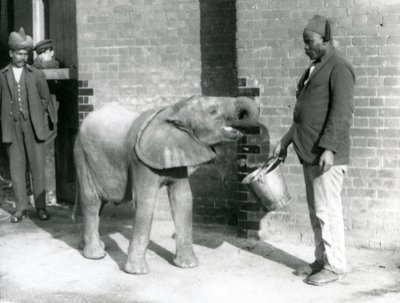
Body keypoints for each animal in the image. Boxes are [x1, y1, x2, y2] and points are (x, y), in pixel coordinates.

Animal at [73, 95, 258, 276]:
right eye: (213, 111)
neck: (173, 110)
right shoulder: (139, 161)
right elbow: (145, 202)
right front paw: (137, 272)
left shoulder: (179, 152)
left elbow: (183, 198)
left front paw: (188, 265)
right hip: (82, 156)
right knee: (92, 201)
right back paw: (95, 255)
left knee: (99, 205)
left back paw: (88, 247)